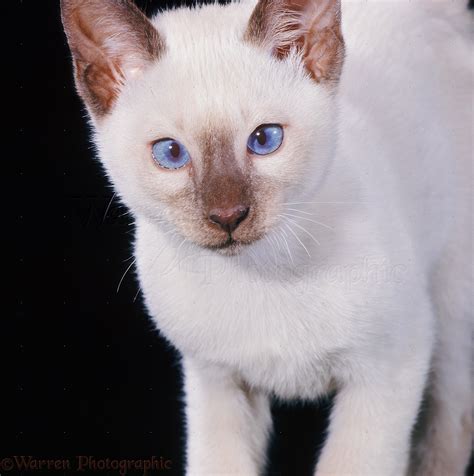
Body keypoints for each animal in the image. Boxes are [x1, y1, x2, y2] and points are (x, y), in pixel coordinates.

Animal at [61, 0, 472, 474]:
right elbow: (216, 463)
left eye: (264, 139)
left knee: (453, 422)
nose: (227, 216)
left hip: (448, 307)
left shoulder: (387, 368)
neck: (262, 275)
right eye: (171, 153)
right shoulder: (216, 379)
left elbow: (352, 462)